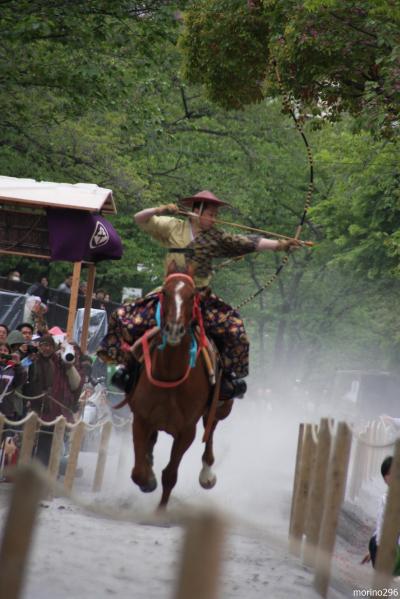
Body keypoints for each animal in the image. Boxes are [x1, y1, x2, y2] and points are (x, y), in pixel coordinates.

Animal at [126, 264, 233, 508]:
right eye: (165, 292)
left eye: (192, 295)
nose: (174, 329)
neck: (169, 377)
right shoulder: (141, 419)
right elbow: (138, 472)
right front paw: (148, 480)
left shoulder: (186, 431)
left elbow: (170, 475)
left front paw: (160, 511)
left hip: (221, 408)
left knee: (211, 429)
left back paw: (207, 474)